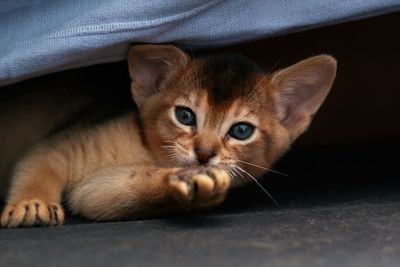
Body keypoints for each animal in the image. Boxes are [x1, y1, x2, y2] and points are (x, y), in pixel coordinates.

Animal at [1, 44, 336, 228]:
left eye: (241, 130)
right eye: (185, 115)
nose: (204, 154)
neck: (144, 152)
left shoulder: (93, 191)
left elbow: (108, 195)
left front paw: (190, 184)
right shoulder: (57, 147)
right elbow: (38, 166)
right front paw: (32, 203)